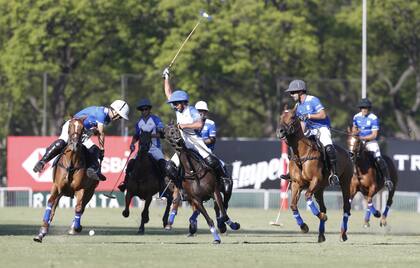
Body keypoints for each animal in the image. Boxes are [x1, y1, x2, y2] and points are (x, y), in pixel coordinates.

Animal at [278, 105, 352, 243]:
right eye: (280, 117)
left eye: (293, 117)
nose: (280, 131)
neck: (301, 155)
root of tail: (347, 152)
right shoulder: (296, 184)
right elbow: (293, 205)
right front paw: (303, 226)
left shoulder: (315, 179)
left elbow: (307, 196)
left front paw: (322, 217)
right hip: (320, 189)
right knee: (323, 207)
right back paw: (321, 235)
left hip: (346, 182)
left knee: (346, 207)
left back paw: (343, 234)